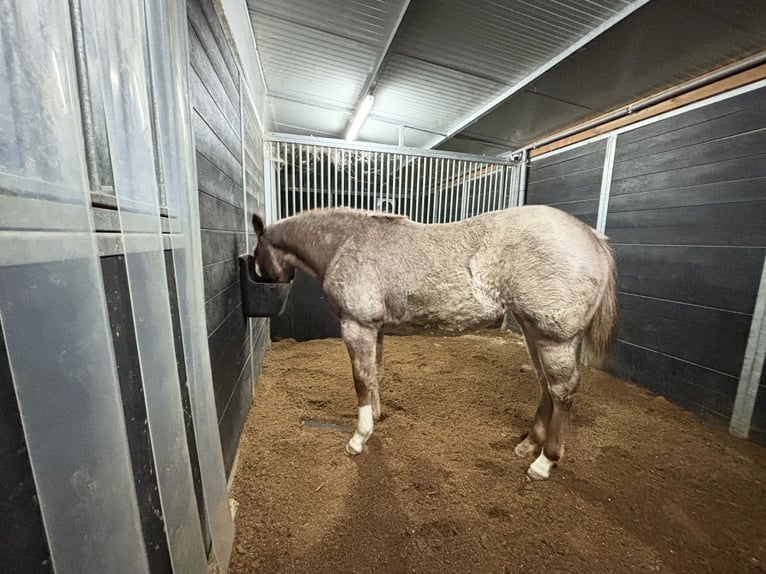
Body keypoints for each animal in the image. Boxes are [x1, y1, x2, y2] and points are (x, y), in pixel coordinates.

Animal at [251, 205, 618, 480]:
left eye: (256, 254)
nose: (272, 283)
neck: (346, 243)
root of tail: (593, 237)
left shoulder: (357, 326)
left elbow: (361, 379)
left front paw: (359, 437)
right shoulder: (374, 328)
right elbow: (375, 374)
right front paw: (377, 418)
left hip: (555, 337)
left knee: (562, 390)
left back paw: (545, 461)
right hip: (533, 331)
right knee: (545, 385)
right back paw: (529, 444)